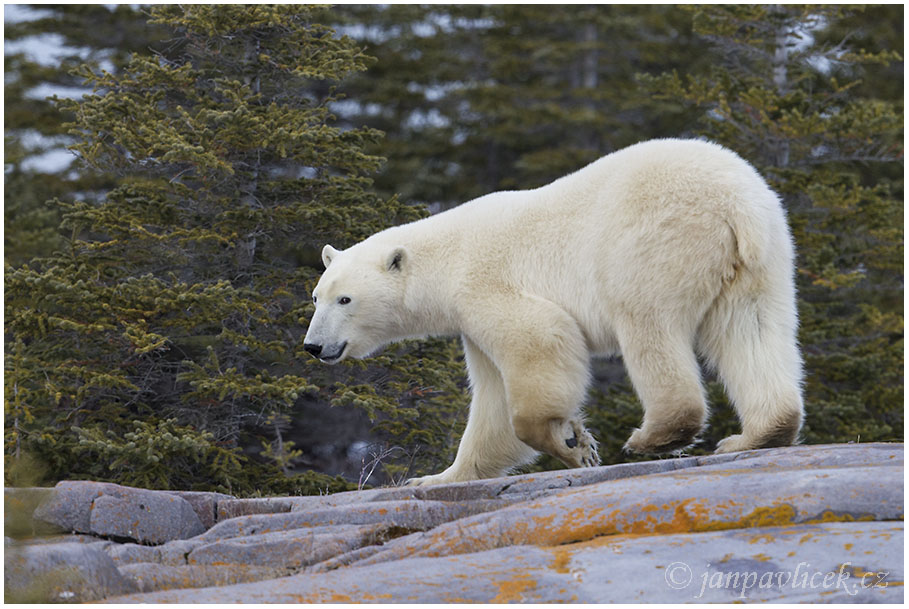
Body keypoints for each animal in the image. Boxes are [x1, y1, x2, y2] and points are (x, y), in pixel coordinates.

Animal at [306, 138, 800, 484]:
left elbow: (540, 342)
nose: (313, 346)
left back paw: (656, 434)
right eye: (316, 296)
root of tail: (735, 202)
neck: (448, 258)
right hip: (760, 260)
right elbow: (492, 403)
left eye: (345, 299)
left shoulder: (485, 287)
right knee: (752, 330)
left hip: (652, 242)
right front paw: (435, 477)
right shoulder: (472, 326)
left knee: (647, 322)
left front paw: (573, 444)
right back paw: (758, 434)